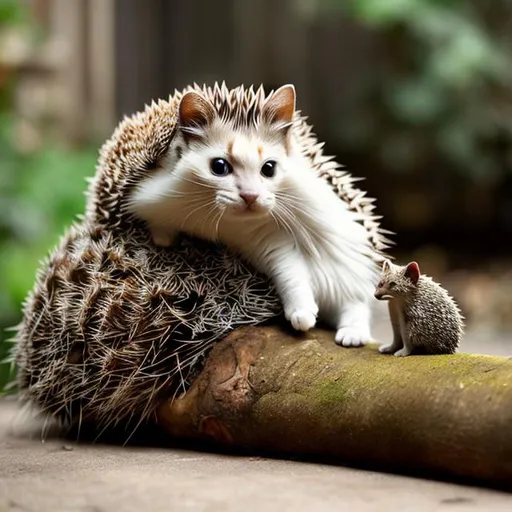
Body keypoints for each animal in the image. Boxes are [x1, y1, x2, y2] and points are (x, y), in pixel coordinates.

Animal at [128, 85, 378, 348]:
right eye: (219, 166)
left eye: (269, 168)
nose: (250, 196)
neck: (225, 224)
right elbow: (290, 269)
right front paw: (164, 240)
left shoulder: (268, 236)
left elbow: (291, 273)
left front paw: (302, 314)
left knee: (356, 301)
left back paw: (352, 334)